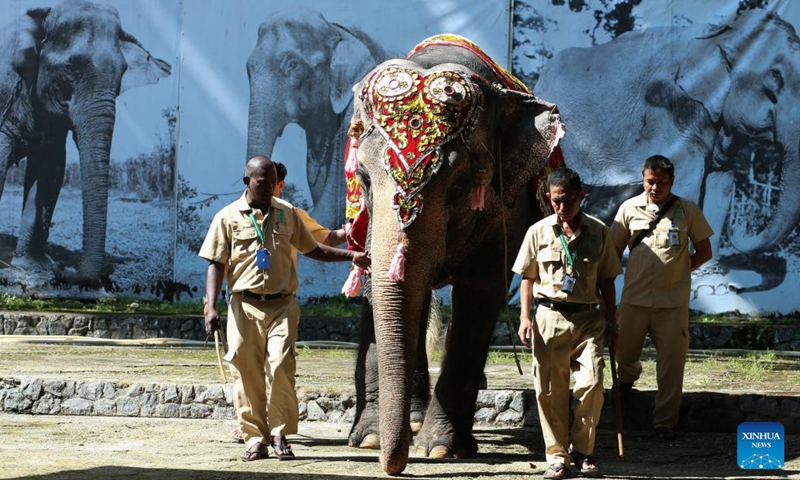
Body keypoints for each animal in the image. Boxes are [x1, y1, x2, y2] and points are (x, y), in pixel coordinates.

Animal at [344, 35, 564, 474]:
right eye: (362, 179)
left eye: (460, 186)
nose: (393, 466)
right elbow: (376, 284)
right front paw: (370, 439)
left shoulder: (507, 203)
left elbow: (481, 291)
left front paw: (441, 449)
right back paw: (410, 420)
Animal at [536, 9, 800, 262]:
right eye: (775, 78)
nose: (740, 230)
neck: (723, 36)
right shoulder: (673, 115)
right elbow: (689, 184)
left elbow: (722, 187)